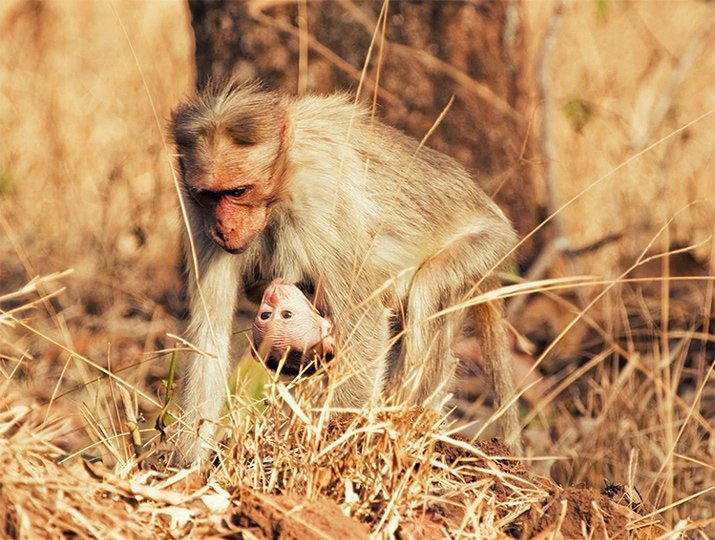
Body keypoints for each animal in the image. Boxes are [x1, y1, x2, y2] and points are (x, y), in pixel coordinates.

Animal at [173, 79, 520, 464]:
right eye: (210, 195)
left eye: (237, 191)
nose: (223, 228)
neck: (284, 178)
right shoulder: (195, 212)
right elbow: (210, 334)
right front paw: (188, 467)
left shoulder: (322, 200)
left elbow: (364, 328)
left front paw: (337, 448)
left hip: (490, 244)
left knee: (429, 287)